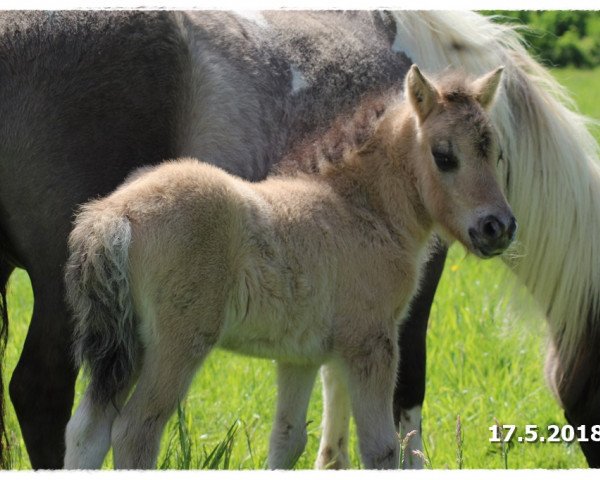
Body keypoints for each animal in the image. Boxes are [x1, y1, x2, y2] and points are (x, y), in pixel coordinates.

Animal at [64, 65, 516, 470]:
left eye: (497, 154)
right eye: (444, 156)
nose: (499, 228)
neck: (362, 208)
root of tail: (114, 214)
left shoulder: (302, 355)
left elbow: (288, 439)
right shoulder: (371, 342)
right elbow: (381, 450)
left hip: (128, 344)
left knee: (87, 430)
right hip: (177, 345)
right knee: (135, 430)